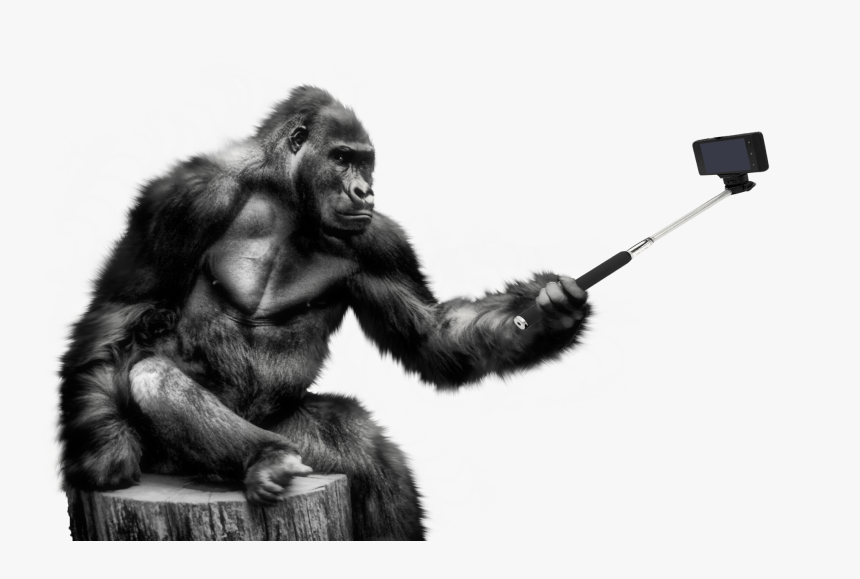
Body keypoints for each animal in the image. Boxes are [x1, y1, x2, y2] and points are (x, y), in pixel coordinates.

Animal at [59, 86, 591, 540]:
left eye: (366, 162)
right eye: (341, 158)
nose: (364, 191)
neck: (284, 194)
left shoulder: (381, 241)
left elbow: (430, 334)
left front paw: (552, 312)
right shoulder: (184, 197)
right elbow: (124, 310)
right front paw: (104, 448)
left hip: (302, 442)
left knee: (366, 454)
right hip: (178, 460)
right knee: (150, 374)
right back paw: (264, 458)